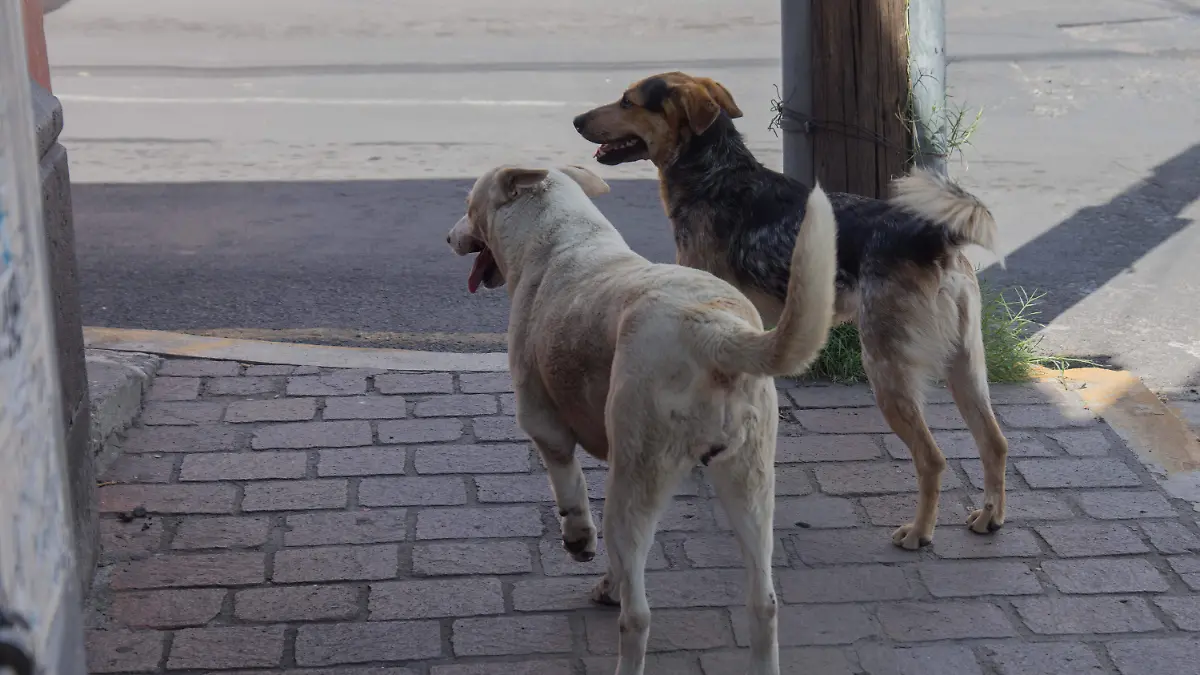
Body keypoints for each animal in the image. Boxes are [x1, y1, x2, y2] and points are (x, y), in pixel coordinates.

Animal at [444, 163, 835, 672]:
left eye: (470, 206)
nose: (449, 236)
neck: (559, 235)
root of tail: (713, 329)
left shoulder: (543, 425)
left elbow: (570, 490)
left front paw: (578, 541)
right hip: (748, 482)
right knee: (763, 603)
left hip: (633, 486)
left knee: (638, 616)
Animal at [576, 70, 1008, 550]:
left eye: (627, 101)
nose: (577, 121)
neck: (716, 175)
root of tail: (934, 240)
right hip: (965, 367)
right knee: (995, 443)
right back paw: (990, 517)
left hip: (887, 370)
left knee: (932, 459)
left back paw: (919, 532)